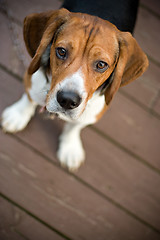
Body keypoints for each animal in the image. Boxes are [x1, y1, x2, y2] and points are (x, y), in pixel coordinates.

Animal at [1, 0, 149, 172]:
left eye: (101, 64)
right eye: (61, 51)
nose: (67, 100)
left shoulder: (94, 111)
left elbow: (75, 126)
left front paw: (70, 147)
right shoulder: (34, 77)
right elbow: (30, 97)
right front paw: (18, 114)